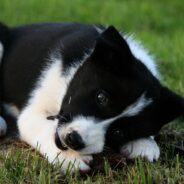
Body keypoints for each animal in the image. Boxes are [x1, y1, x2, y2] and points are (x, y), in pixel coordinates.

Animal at [0, 22, 183, 172]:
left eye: (119, 132)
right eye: (101, 97)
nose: (74, 140)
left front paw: (144, 143)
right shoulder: (33, 111)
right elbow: (42, 127)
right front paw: (70, 158)